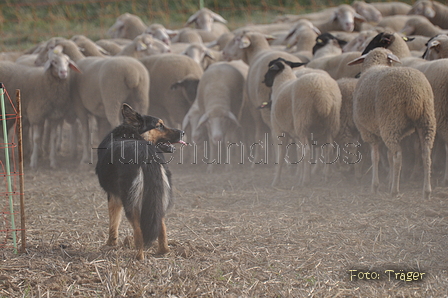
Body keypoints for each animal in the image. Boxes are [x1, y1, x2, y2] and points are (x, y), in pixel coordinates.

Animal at [95, 103, 185, 260]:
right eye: (159, 125)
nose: (183, 132)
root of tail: (145, 153)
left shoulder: (113, 196)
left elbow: (113, 222)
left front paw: (110, 243)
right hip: (157, 199)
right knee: (161, 225)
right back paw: (163, 251)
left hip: (130, 202)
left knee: (139, 231)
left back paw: (139, 256)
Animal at [262, 58, 344, 187]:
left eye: (270, 69)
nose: (264, 80)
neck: (282, 82)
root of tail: (323, 95)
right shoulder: (296, 134)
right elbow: (299, 154)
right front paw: (299, 175)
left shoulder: (279, 131)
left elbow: (281, 157)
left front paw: (276, 180)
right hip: (331, 124)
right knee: (329, 149)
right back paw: (326, 176)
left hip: (303, 122)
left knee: (308, 151)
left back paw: (306, 180)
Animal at [348, 47, 436, 199]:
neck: (375, 65)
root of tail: (414, 94)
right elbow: (388, 156)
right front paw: (388, 181)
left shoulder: (368, 132)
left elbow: (375, 157)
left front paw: (375, 186)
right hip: (425, 121)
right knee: (426, 154)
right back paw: (426, 191)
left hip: (391, 122)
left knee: (398, 156)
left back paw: (395, 190)